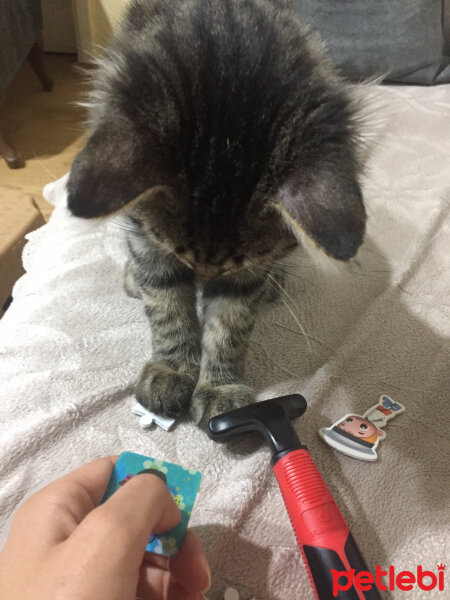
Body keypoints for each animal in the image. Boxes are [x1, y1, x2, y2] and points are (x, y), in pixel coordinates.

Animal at [67, 0, 366, 426]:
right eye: (175, 250)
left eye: (230, 266)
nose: (205, 277)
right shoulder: (149, 243)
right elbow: (167, 308)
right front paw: (172, 369)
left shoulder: (246, 272)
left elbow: (229, 326)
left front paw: (220, 386)